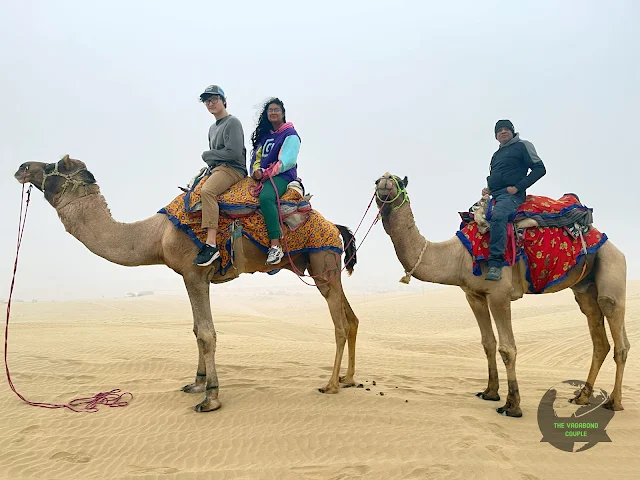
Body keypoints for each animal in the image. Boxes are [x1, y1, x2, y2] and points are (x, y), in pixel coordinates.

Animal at [12, 156, 360, 410]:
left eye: (56, 165)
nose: (22, 167)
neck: (157, 234)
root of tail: (335, 227)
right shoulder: (187, 277)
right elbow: (195, 330)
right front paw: (196, 383)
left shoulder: (196, 274)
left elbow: (206, 334)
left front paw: (211, 397)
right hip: (326, 267)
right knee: (352, 318)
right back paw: (348, 379)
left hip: (322, 264)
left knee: (340, 324)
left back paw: (330, 385)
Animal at [376, 172, 632, 416]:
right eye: (376, 180)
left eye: (399, 182)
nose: (385, 180)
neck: (458, 256)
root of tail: (613, 246)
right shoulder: (474, 295)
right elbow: (488, 343)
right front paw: (490, 392)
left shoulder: (499, 294)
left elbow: (507, 348)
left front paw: (512, 405)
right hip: (585, 289)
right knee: (599, 340)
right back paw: (582, 397)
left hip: (612, 268)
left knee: (617, 333)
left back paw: (615, 402)